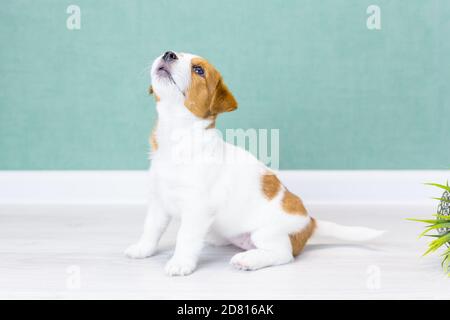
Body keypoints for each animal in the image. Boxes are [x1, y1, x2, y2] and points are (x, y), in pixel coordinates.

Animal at [125, 50, 384, 276]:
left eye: (198, 70)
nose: (169, 53)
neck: (177, 135)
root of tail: (310, 222)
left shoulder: (197, 209)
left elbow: (185, 237)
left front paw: (180, 263)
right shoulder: (159, 202)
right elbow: (151, 229)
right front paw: (142, 249)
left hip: (267, 233)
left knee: (283, 254)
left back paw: (248, 260)